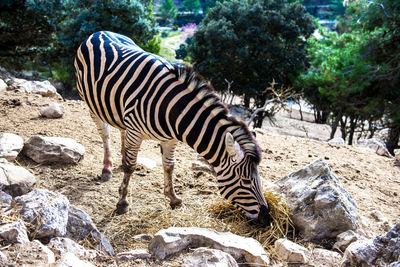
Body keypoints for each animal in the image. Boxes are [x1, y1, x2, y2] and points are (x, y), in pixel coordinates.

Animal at [73, 31, 270, 228]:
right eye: (246, 181)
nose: (266, 218)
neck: (173, 110)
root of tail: (100, 32)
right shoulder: (135, 132)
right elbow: (131, 167)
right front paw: (123, 203)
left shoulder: (170, 139)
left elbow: (169, 166)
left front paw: (174, 199)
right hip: (92, 104)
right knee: (105, 135)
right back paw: (107, 168)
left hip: (119, 110)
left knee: (121, 132)